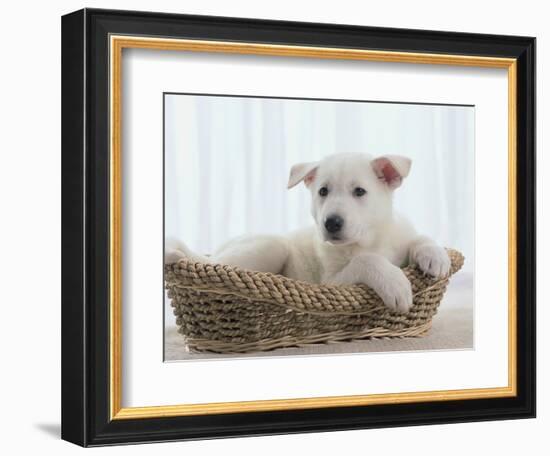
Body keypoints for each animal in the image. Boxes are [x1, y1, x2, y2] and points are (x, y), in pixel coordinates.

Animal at [168, 153, 452, 314]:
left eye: (359, 191)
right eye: (323, 191)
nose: (331, 223)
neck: (370, 240)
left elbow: (418, 238)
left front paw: (436, 256)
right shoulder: (332, 283)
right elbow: (366, 260)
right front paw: (395, 284)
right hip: (270, 246)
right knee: (215, 264)